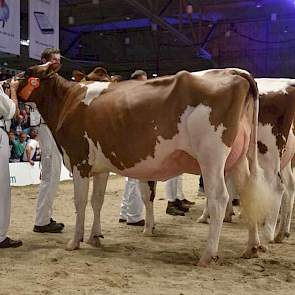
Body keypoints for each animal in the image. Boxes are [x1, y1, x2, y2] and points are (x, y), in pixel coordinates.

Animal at [16, 64, 272, 266]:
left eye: (28, 72)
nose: (8, 82)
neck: (68, 101)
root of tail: (235, 72)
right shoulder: (100, 167)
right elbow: (97, 201)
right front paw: (95, 237)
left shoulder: (80, 162)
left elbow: (80, 202)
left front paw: (74, 241)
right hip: (239, 158)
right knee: (248, 194)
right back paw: (251, 247)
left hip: (211, 157)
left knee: (219, 197)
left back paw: (208, 255)